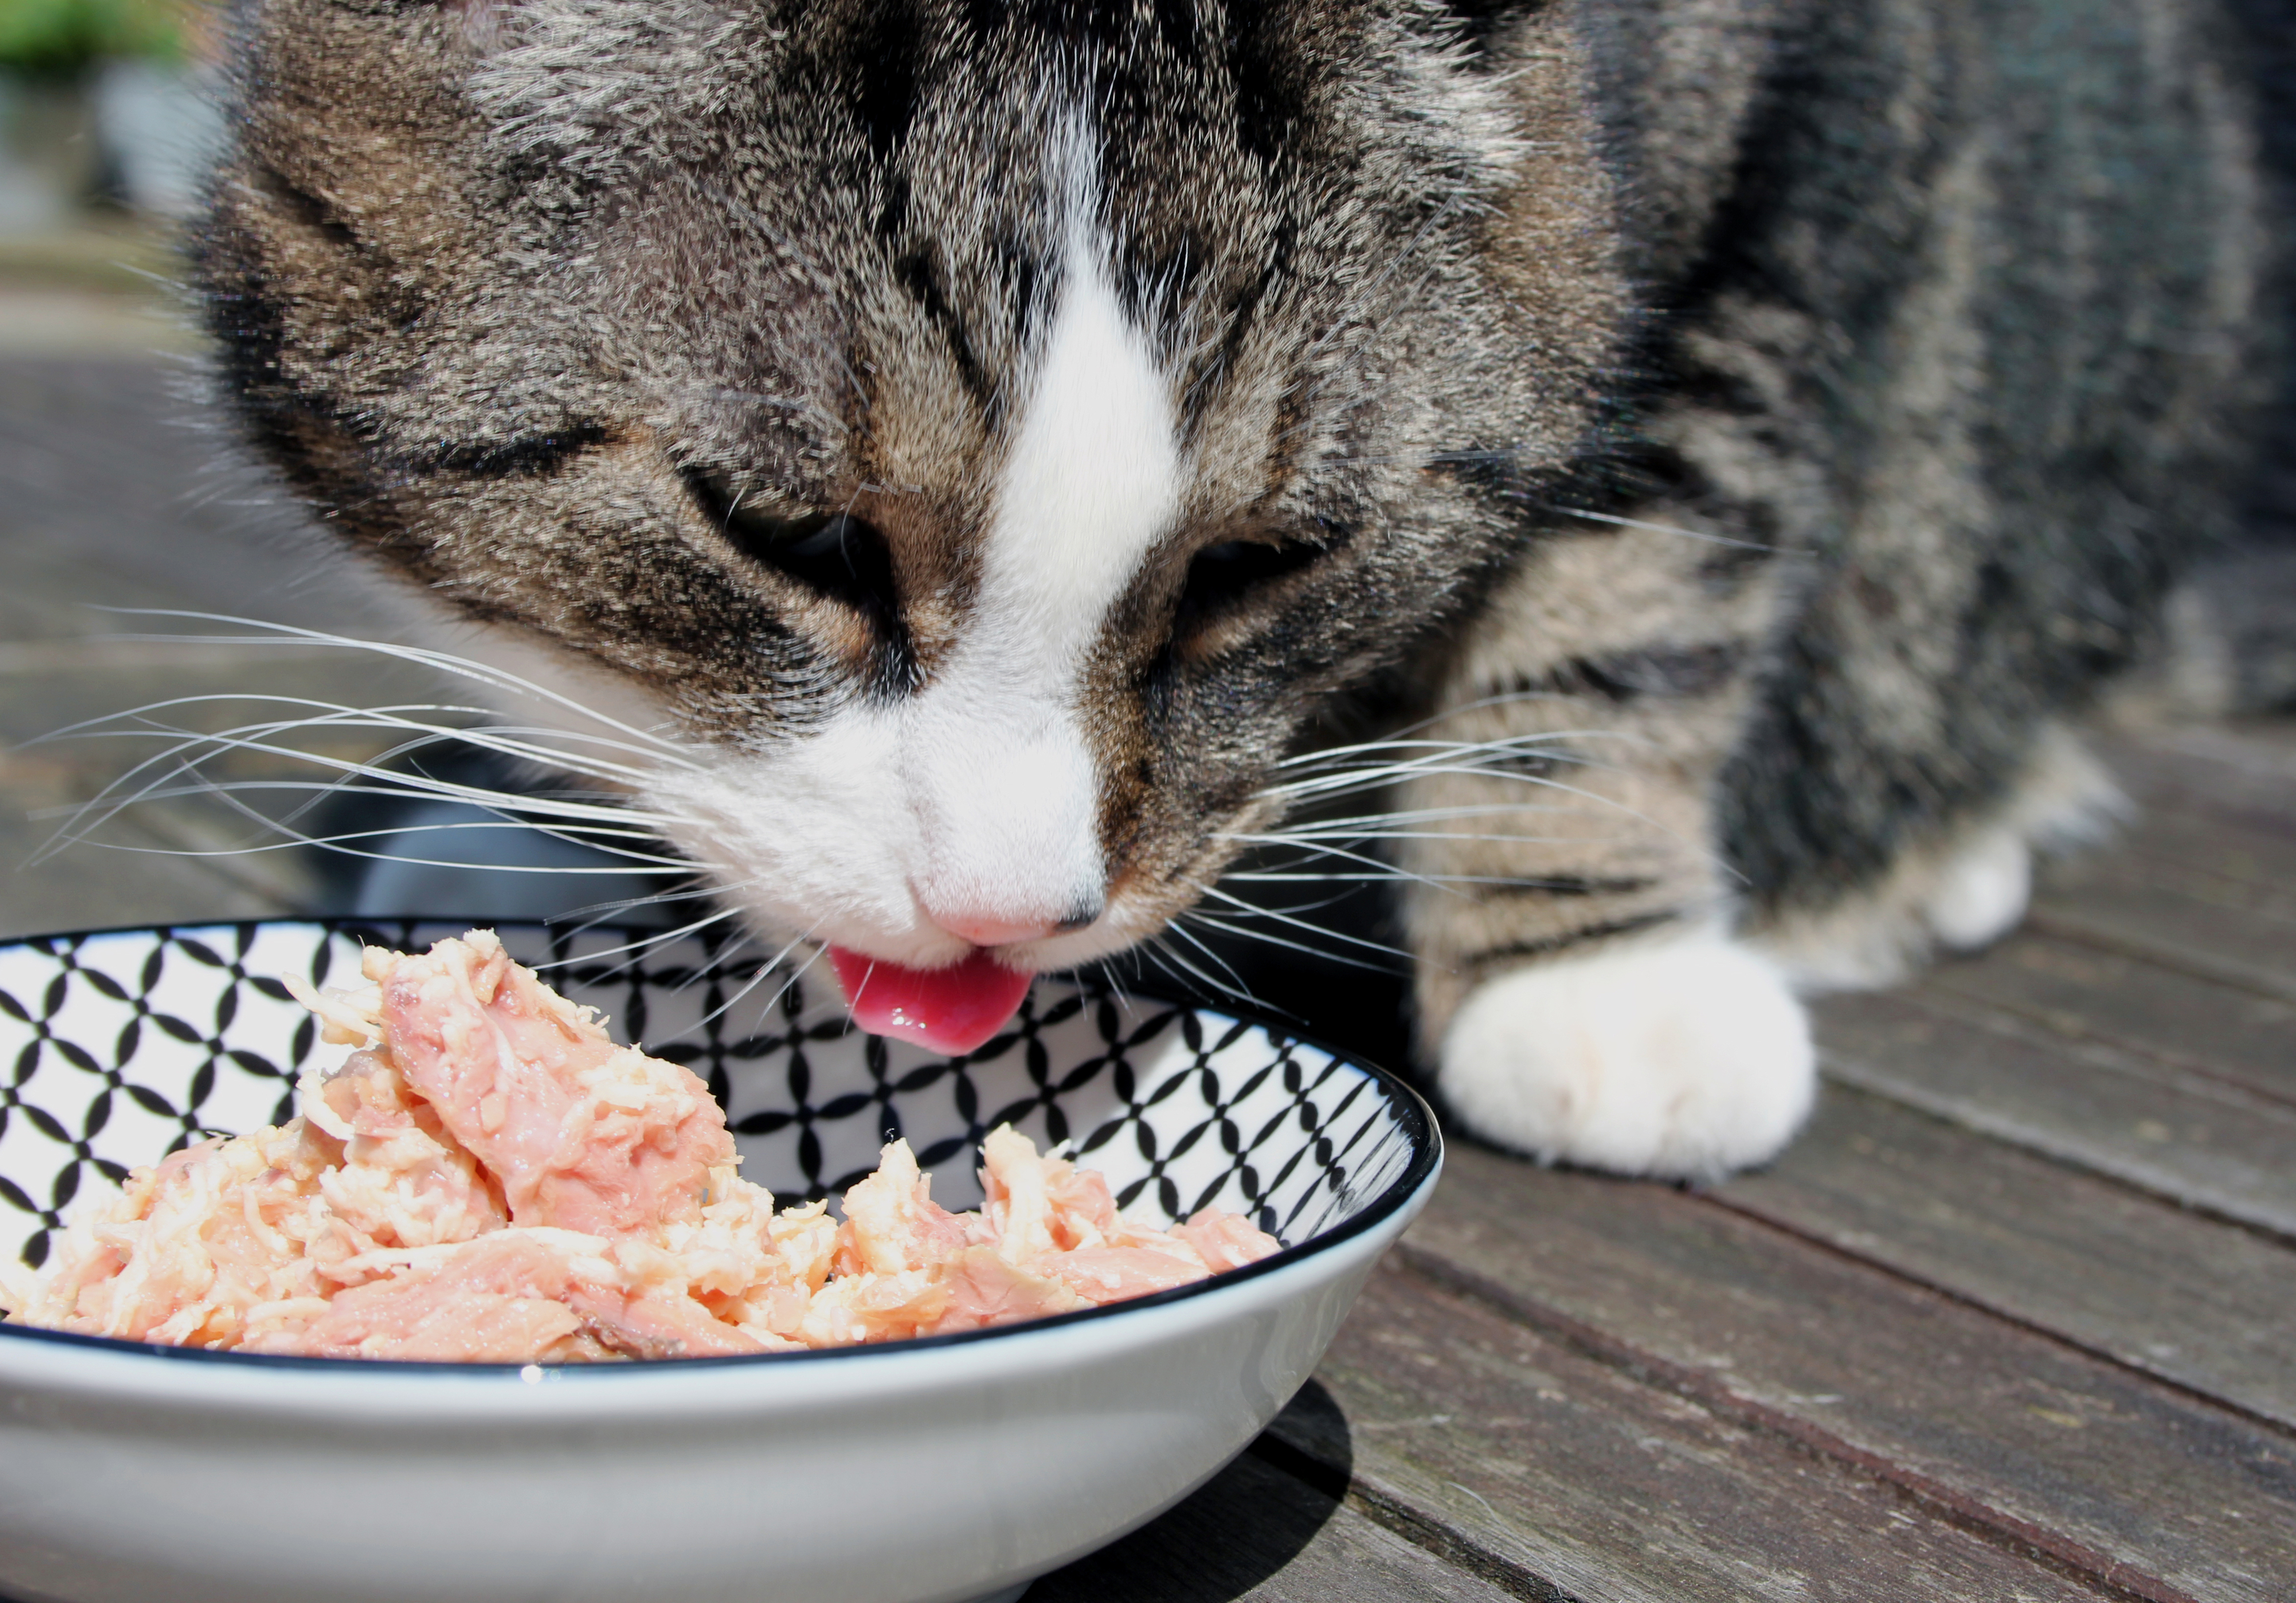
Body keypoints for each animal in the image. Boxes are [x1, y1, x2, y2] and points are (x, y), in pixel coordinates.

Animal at [188, 0, 2287, 1176]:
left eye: (1254, 568)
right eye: (793, 541)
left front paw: (1596, 977)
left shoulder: (1797, 145)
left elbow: (1640, 563)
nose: (1004, 914)